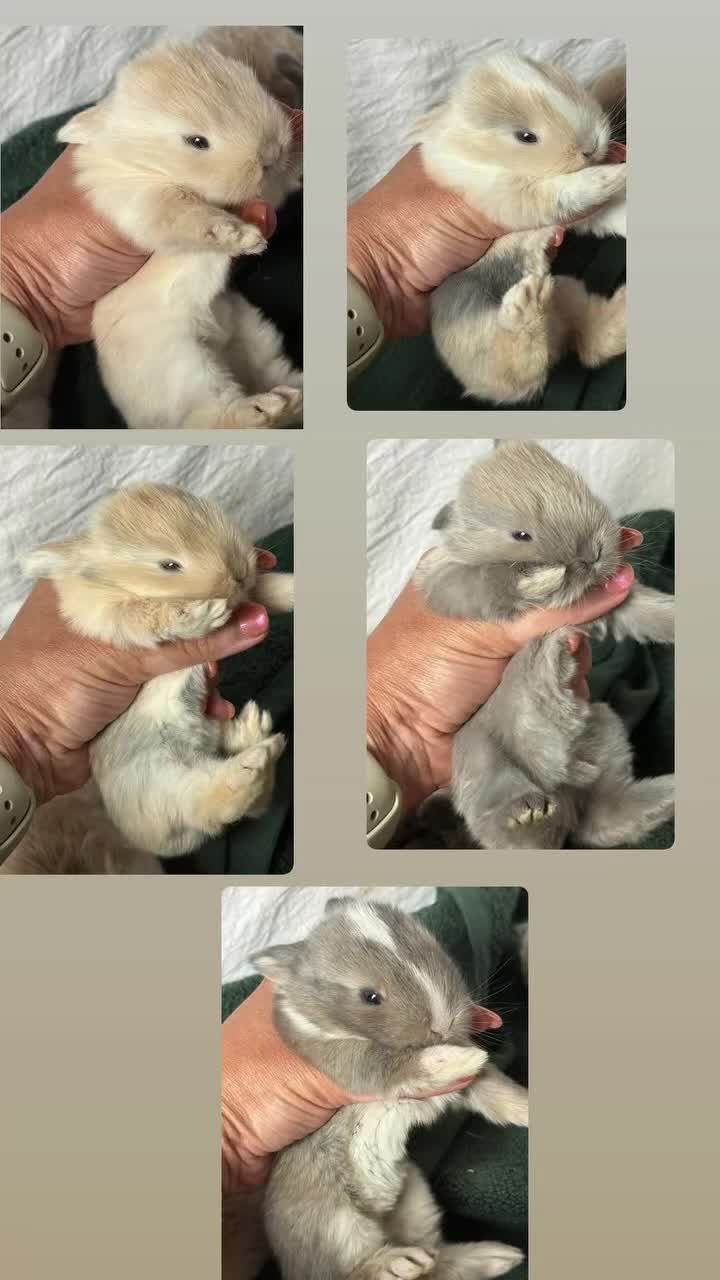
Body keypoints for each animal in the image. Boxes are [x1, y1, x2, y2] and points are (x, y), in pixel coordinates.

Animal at [11, 484, 292, 873]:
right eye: (169, 565)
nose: (237, 574)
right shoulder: (113, 615)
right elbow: (149, 614)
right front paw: (203, 614)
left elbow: (268, 589)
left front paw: (293, 590)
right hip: (162, 782)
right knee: (212, 803)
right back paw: (255, 759)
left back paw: (252, 731)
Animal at [57, 39, 303, 430]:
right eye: (197, 141)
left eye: (250, 82)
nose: (272, 152)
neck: (150, 161)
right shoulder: (144, 200)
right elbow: (186, 214)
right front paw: (243, 237)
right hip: (185, 367)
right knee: (216, 414)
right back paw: (269, 408)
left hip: (254, 337)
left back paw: (295, 398)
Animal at [252, 897, 527, 1280]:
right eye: (370, 996)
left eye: (438, 952)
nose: (444, 1025)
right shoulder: (351, 1064)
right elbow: (397, 1064)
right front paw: (463, 1057)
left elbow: (496, 1093)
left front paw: (526, 1106)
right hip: (337, 1225)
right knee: (356, 1269)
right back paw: (400, 1263)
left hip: (416, 1198)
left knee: (437, 1261)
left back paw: (496, 1255)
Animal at [414, 442, 674, 850]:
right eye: (521, 534)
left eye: (583, 491)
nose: (593, 553)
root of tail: (565, 793)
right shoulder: (449, 582)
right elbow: (487, 578)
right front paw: (540, 580)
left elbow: (650, 611)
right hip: (481, 755)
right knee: (507, 826)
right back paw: (528, 814)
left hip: (605, 725)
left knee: (605, 818)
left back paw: (670, 791)